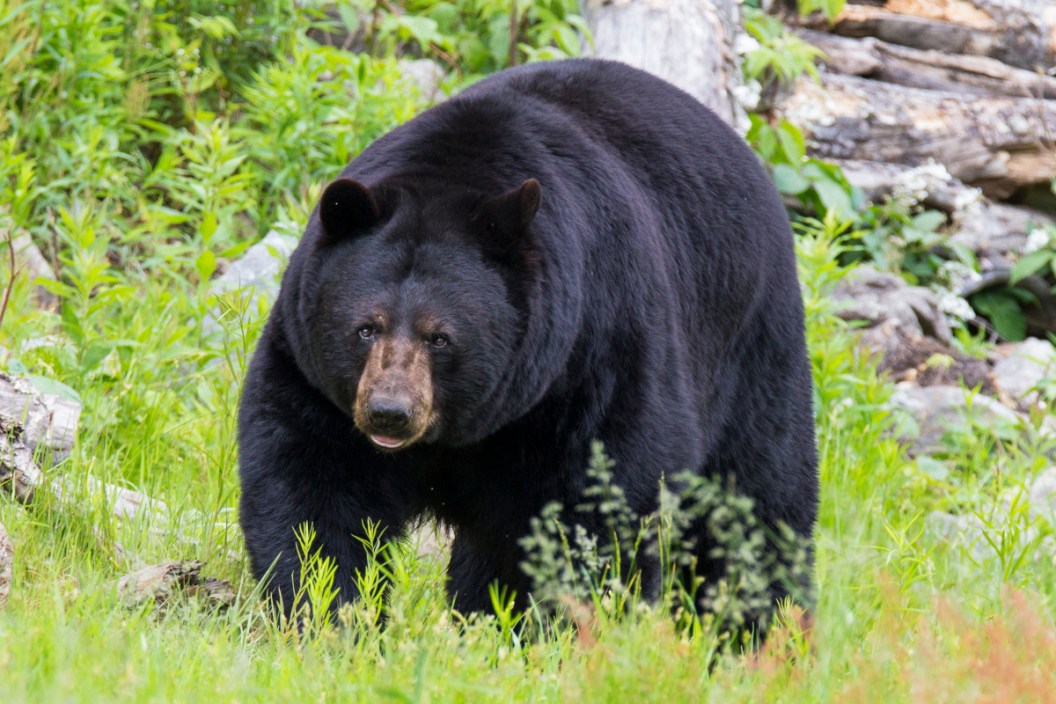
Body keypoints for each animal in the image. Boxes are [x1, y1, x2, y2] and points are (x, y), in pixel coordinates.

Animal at [237, 58, 819, 627]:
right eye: (365, 327)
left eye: (441, 337)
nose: (390, 413)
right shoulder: (312, 371)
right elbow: (314, 487)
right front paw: (327, 611)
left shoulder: (594, 354)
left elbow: (599, 499)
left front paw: (559, 623)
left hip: (751, 344)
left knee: (757, 501)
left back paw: (760, 625)